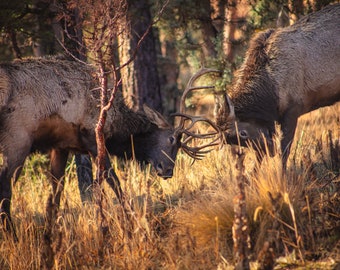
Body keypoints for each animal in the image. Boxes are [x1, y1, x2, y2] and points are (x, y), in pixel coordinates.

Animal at [0, 57, 214, 238]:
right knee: (5, 187)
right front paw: (131, 222)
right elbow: (114, 181)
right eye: (171, 139)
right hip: (17, 139)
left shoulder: (61, 146)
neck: (118, 126)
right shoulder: (93, 137)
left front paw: (50, 233)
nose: (168, 170)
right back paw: (12, 236)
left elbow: (56, 190)